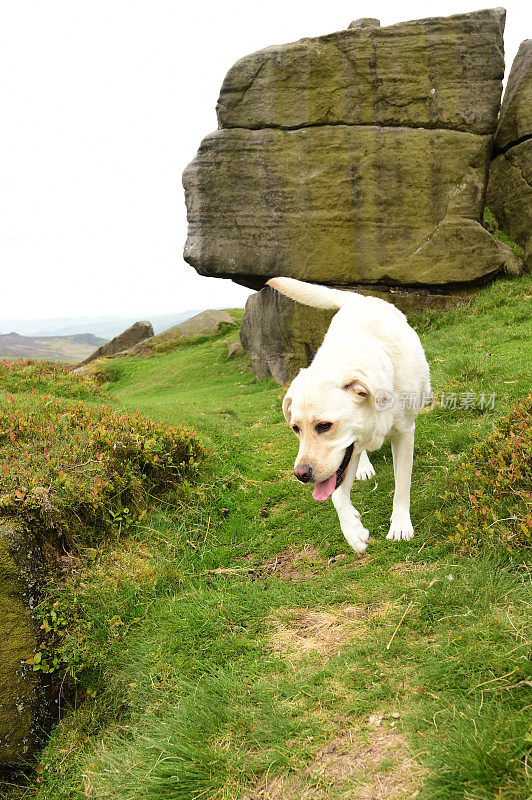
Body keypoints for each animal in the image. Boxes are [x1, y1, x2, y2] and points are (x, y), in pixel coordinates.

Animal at [268, 278, 430, 552]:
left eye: (324, 426)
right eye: (296, 429)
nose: (301, 475)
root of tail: (358, 299)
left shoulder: (405, 433)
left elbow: (402, 483)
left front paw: (400, 524)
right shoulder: (344, 456)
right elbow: (336, 496)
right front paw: (353, 530)